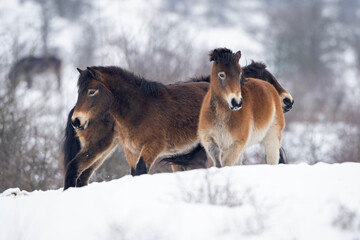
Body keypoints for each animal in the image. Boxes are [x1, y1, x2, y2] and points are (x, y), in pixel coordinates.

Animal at [62, 61, 292, 188]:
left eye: (91, 90)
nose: (288, 101)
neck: (140, 106)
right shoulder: (139, 151)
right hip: (99, 146)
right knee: (75, 169)